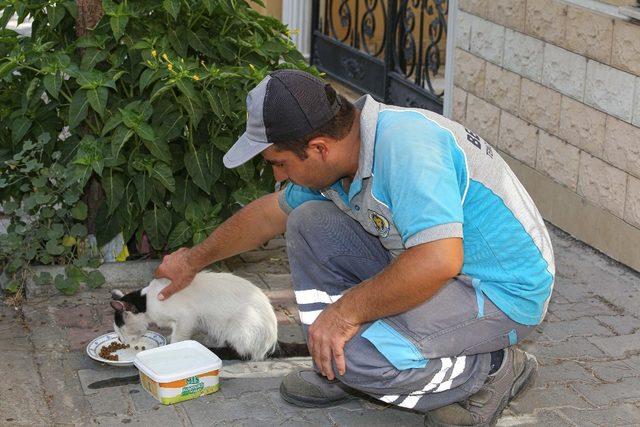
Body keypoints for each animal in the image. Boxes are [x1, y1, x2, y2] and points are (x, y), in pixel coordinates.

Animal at [109, 270, 278, 362]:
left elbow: (178, 338)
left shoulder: (187, 318)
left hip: (239, 323)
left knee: (241, 353)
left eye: (121, 330)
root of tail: (271, 342)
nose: (121, 340)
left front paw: (172, 347)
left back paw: (215, 349)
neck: (147, 302)